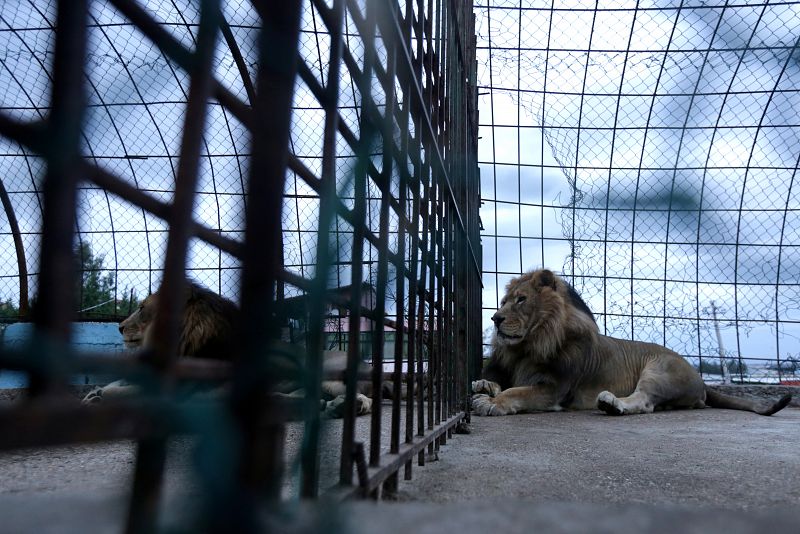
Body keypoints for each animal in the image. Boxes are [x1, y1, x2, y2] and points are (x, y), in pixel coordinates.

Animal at [83, 280, 376, 418]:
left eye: (143, 308)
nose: (120, 327)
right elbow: (117, 383)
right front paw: (93, 394)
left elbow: (121, 392)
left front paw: (100, 396)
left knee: (363, 399)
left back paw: (345, 406)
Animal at [472, 272, 792, 418]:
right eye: (504, 301)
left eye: (521, 300)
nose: (496, 318)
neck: (529, 345)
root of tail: (702, 380)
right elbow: (493, 380)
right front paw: (485, 387)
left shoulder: (555, 389)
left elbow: (517, 391)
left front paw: (491, 402)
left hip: (659, 369)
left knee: (644, 402)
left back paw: (612, 403)